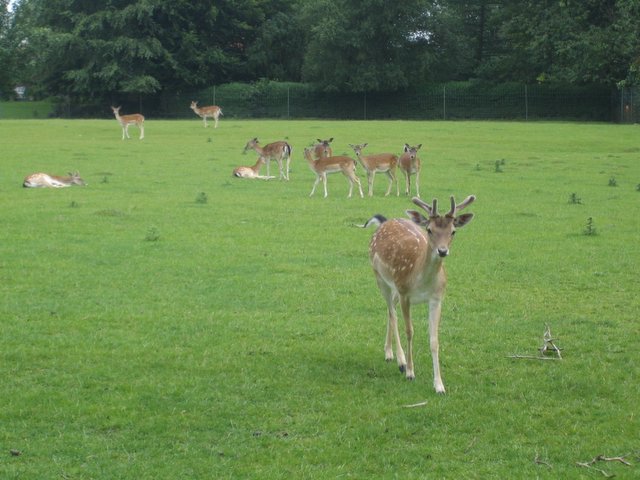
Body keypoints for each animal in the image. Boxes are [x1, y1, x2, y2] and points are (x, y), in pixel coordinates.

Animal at [365, 195, 475, 393]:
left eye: (453, 231)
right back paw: (400, 361)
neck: (422, 281)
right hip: (381, 278)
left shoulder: (437, 298)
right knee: (392, 313)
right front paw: (410, 372)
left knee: (390, 311)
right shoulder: (405, 294)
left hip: (394, 288)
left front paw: (439, 384)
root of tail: (385, 222)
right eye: (429, 229)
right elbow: (410, 331)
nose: (442, 251)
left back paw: (388, 353)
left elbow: (434, 339)